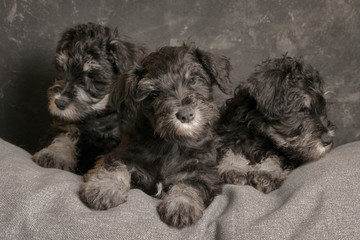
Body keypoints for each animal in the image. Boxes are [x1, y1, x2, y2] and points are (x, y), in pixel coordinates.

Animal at [32, 23, 146, 174]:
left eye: (91, 75)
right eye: (62, 68)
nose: (59, 102)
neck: (96, 115)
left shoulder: (117, 141)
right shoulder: (67, 125)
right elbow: (63, 139)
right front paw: (53, 155)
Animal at [80, 43, 232, 229]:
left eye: (193, 80)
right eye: (154, 93)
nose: (186, 115)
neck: (172, 143)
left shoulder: (206, 174)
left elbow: (190, 184)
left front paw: (181, 205)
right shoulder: (121, 154)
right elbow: (115, 166)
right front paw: (104, 188)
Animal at [217, 56, 338, 193]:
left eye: (323, 108)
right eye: (303, 109)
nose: (328, 140)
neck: (261, 134)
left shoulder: (287, 154)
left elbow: (275, 158)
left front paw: (266, 174)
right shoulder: (231, 136)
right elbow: (232, 151)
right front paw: (233, 169)